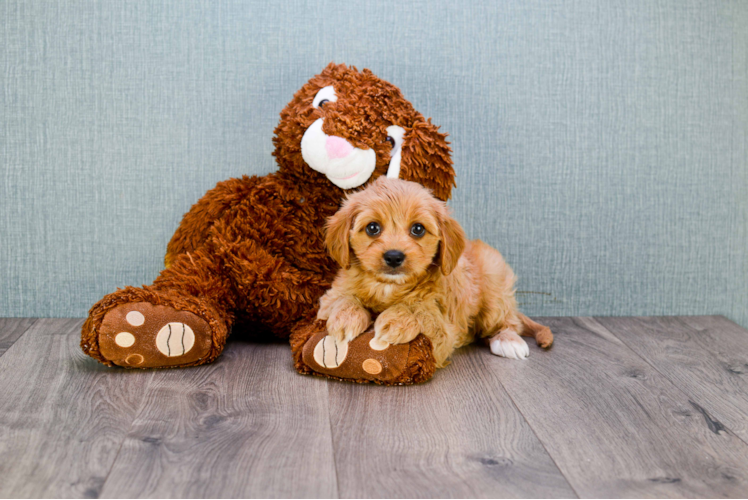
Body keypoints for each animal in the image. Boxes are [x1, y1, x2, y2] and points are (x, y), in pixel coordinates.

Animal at [318, 176, 552, 368]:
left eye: (418, 229)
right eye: (372, 228)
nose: (394, 256)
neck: (388, 286)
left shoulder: (443, 328)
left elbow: (422, 311)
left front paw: (397, 319)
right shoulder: (329, 298)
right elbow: (343, 298)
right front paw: (346, 317)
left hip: (495, 286)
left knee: (509, 321)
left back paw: (508, 340)